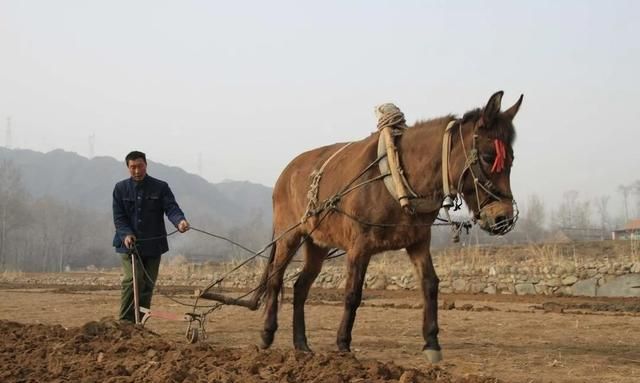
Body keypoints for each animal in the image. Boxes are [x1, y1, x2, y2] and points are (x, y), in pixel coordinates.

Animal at [230, 91, 520, 364]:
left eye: (511, 160)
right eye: (488, 156)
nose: (504, 218)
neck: (398, 174)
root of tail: (287, 171)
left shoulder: (418, 242)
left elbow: (430, 285)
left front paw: (432, 343)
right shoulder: (360, 246)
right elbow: (352, 293)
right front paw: (343, 344)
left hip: (317, 243)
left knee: (300, 287)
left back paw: (301, 343)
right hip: (289, 235)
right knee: (276, 279)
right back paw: (267, 334)